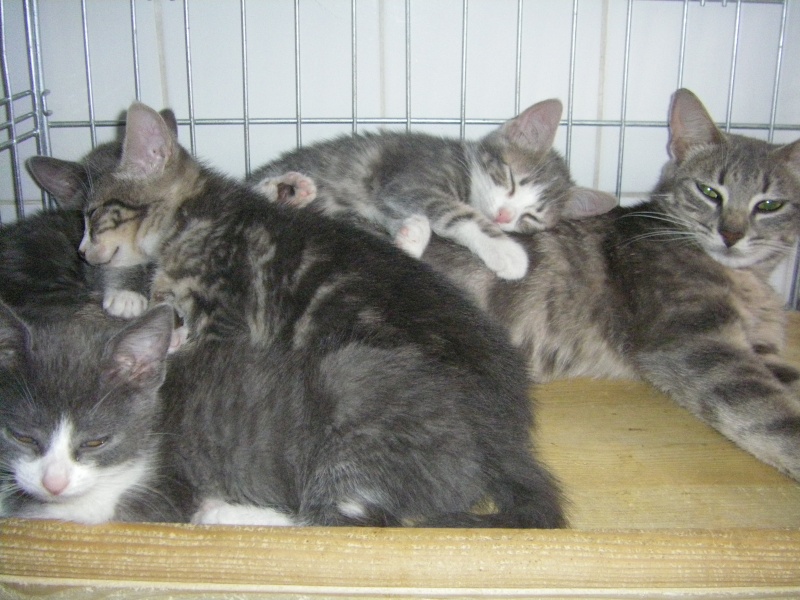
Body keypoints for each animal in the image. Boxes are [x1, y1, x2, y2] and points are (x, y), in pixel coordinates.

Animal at [73, 101, 564, 528]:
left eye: (93, 214)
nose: (83, 252)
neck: (196, 215)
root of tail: (507, 432)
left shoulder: (224, 314)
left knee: (335, 519)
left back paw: (225, 513)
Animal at [250, 99, 620, 282]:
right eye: (511, 179)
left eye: (532, 216)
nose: (503, 217)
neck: (466, 170)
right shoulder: (406, 178)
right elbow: (454, 212)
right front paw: (504, 250)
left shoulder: (391, 194)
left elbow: (399, 217)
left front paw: (409, 236)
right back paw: (285, 189)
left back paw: (292, 195)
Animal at [424, 89, 800, 480]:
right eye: (709, 191)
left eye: (770, 205)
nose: (731, 234)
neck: (749, 280)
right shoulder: (699, 343)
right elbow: (773, 417)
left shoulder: (761, 349)